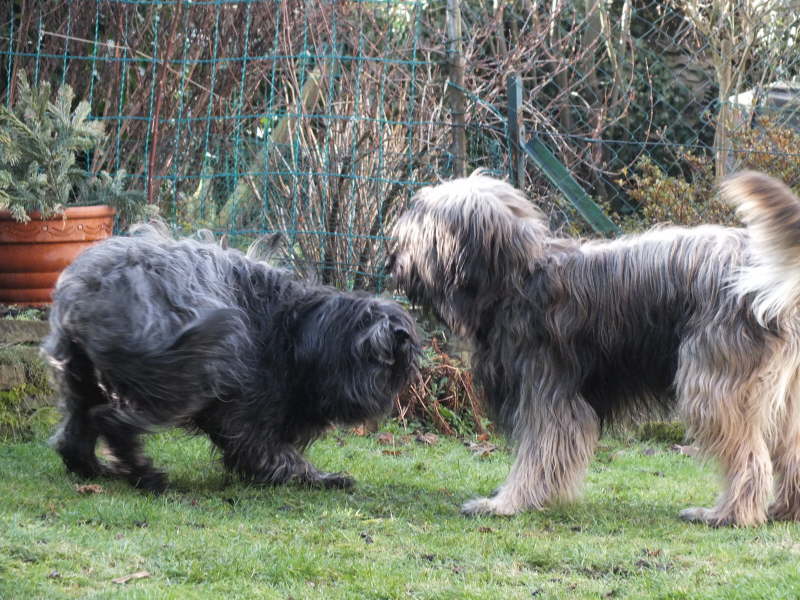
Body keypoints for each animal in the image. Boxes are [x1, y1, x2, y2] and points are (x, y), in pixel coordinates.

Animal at [43, 224, 418, 492]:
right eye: (378, 361)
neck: (298, 332)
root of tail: (89, 292)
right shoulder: (250, 407)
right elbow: (268, 452)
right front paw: (321, 478)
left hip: (80, 372)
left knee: (77, 427)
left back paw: (90, 467)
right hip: (183, 373)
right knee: (113, 420)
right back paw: (145, 475)